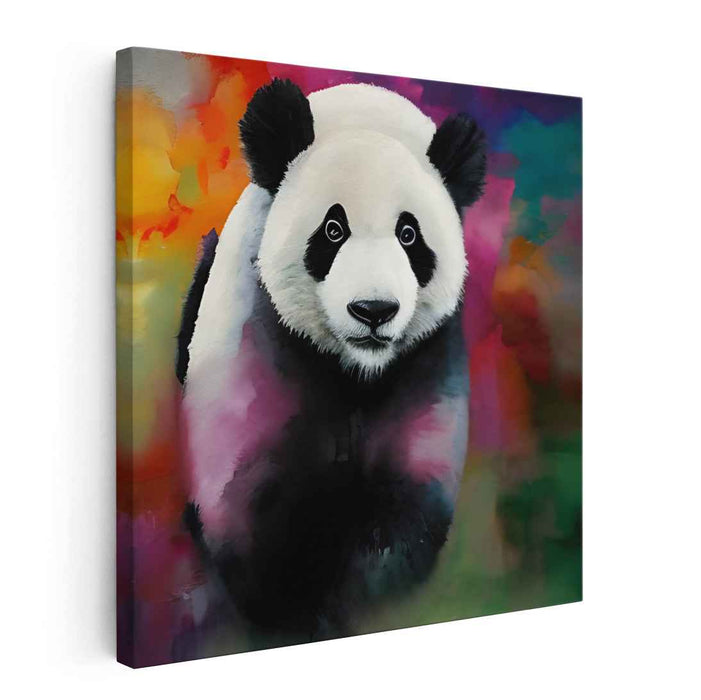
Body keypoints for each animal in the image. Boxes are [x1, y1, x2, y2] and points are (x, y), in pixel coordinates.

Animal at [177, 79, 486, 640]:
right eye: (332, 230)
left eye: (409, 234)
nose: (374, 310)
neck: (355, 370)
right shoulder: (254, 328)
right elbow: (245, 505)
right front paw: (294, 610)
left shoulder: (429, 358)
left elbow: (408, 506)